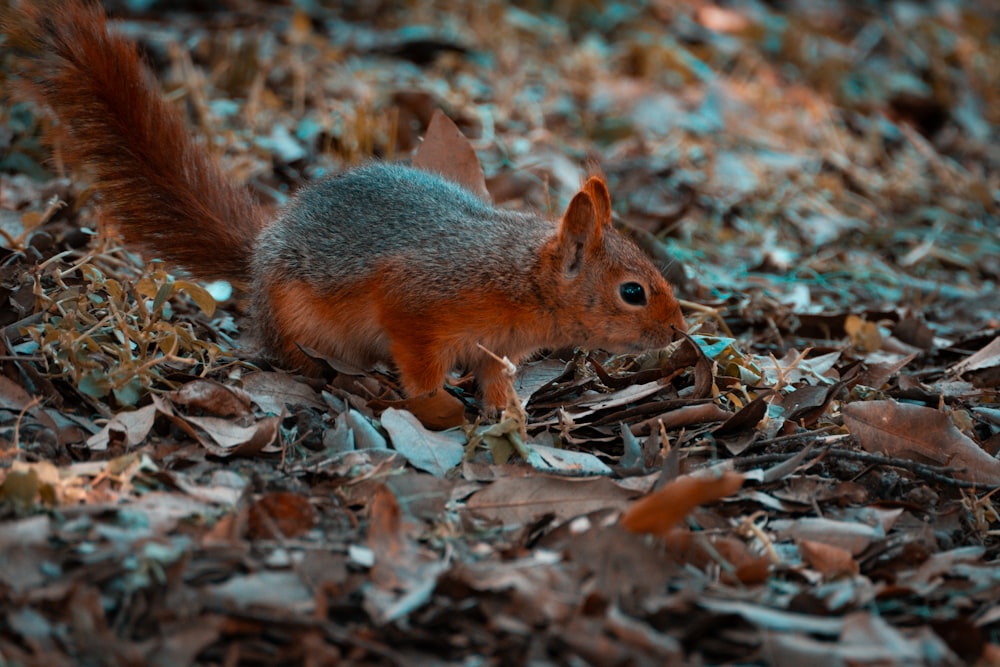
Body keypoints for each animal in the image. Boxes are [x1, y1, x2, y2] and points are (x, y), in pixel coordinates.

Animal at [3, 0, 688, 410]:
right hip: (297, 319)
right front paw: (438, 408)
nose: (681, 334)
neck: (518, 278)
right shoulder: (418, 301)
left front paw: (508, 416)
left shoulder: (496, 351)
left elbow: (495, 379)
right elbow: (420, 365)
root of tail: (263, 250)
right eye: (633, 292)